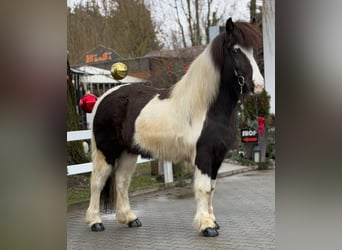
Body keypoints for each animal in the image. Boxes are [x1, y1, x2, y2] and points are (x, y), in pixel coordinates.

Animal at [85, 17, 264, 236]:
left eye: (254, 51)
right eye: (236, 50)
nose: (258, 86)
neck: (205, 107)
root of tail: (103, 97)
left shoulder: (218, 155)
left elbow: (212, 188)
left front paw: (213, 222)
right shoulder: (203, 155)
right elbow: (204, 188)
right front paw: (206, 226)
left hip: (128, 152)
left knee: (121, 181)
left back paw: (130, 218)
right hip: (107, 151)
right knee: (97, 182)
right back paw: (95, 222)